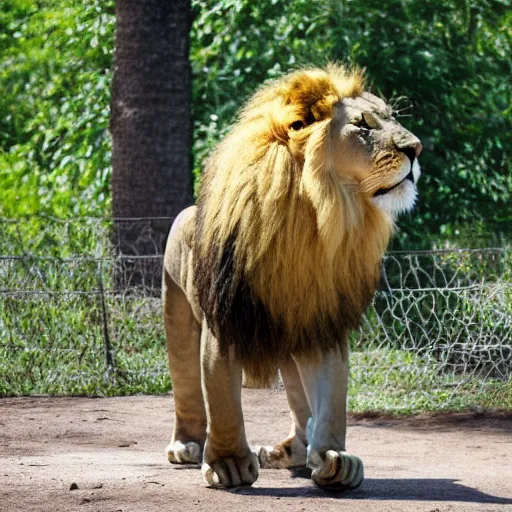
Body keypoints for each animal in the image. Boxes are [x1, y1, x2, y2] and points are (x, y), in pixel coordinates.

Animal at [162, 66, 422, 490]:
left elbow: (332, 394)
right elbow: (221, 396)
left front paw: (335, 459)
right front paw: (228, 464)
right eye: (363, 125)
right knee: (185, 380)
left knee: (301, 401)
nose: (417, 149)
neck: (318, 211)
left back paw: (294, 453)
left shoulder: (322, 317)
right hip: (177, 308)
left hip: (292, 333)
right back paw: (186, 445)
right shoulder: (227, 318)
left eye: (390, 117)